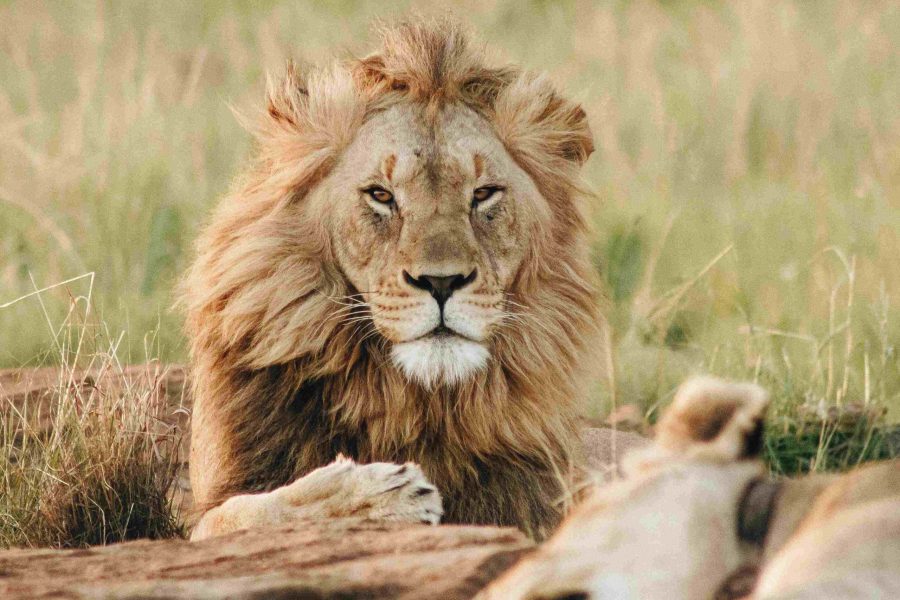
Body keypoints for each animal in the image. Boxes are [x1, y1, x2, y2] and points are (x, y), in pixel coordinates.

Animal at [182, 21, 620, 540]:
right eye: (381, 195)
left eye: (484, 194)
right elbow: (248, 512)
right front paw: (377, 495)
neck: (410, 403)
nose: (442, 282)